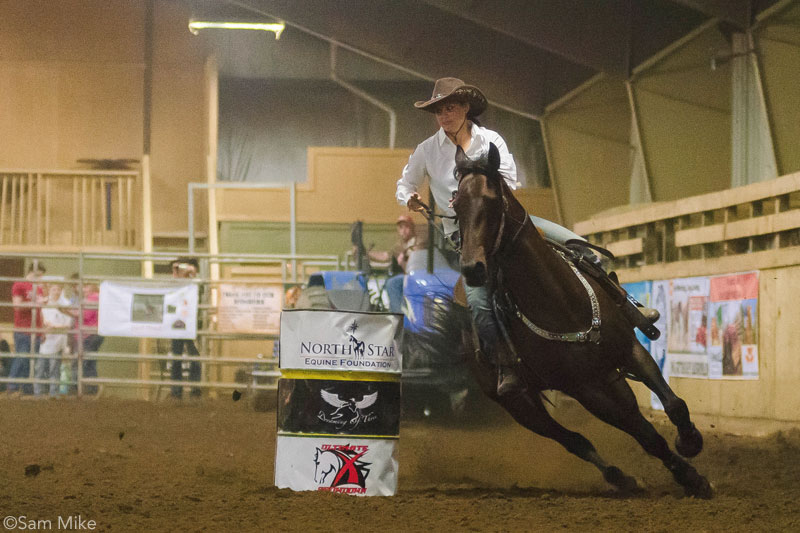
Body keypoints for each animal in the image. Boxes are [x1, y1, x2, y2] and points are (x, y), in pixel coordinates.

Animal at [450, 142, 712, 498]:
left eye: (491, 200)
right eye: (456, 205)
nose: (472, 268)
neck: (561, 302)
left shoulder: (628, 350)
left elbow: (673, 404)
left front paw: (690, 443)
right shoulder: (585, 387)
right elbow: (645, 435)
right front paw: (691, 477)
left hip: (605, 376)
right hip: (519, 403)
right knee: (575, 440)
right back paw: (620, 478)